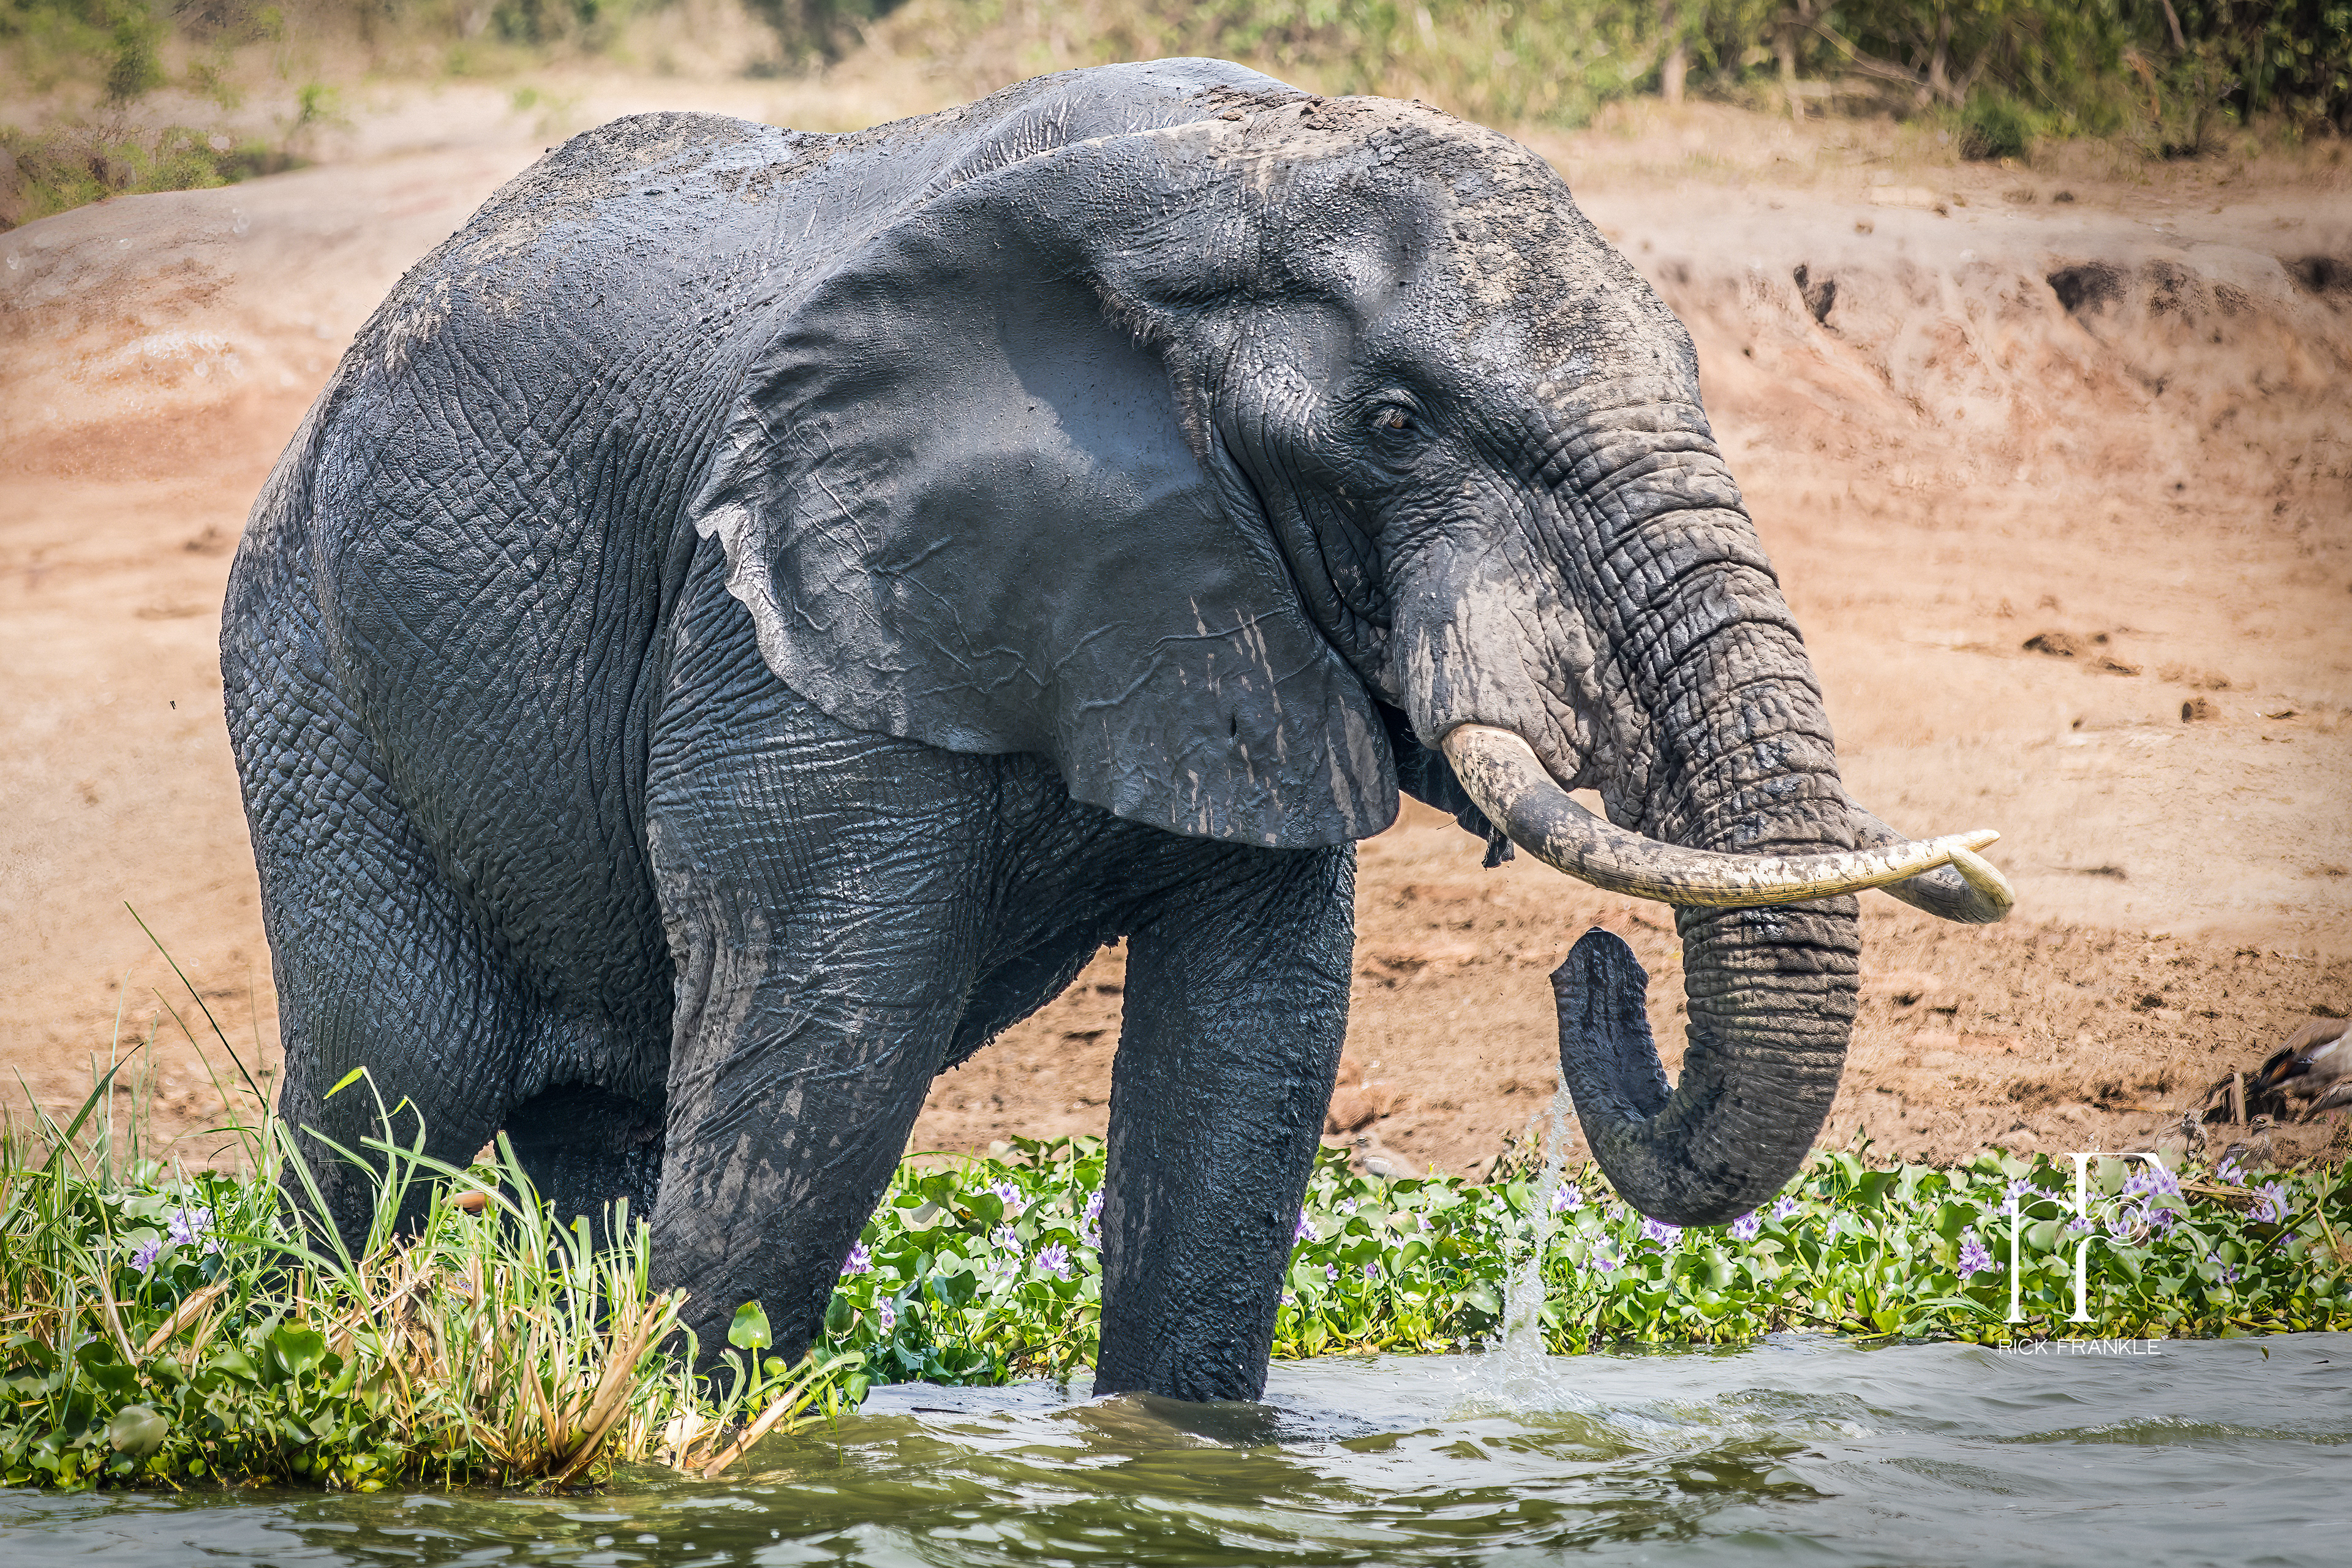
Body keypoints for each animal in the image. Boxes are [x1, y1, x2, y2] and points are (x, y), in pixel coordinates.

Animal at [221, 57, 2012, 1402]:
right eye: (1394, 422)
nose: (1595, 969)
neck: (1244, 183)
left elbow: (1245, 1069)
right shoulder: (783, 610)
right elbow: (822, 1061)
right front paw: (699, 1449)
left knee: (600, 1131)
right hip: (306, 666)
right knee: (391, 1102)